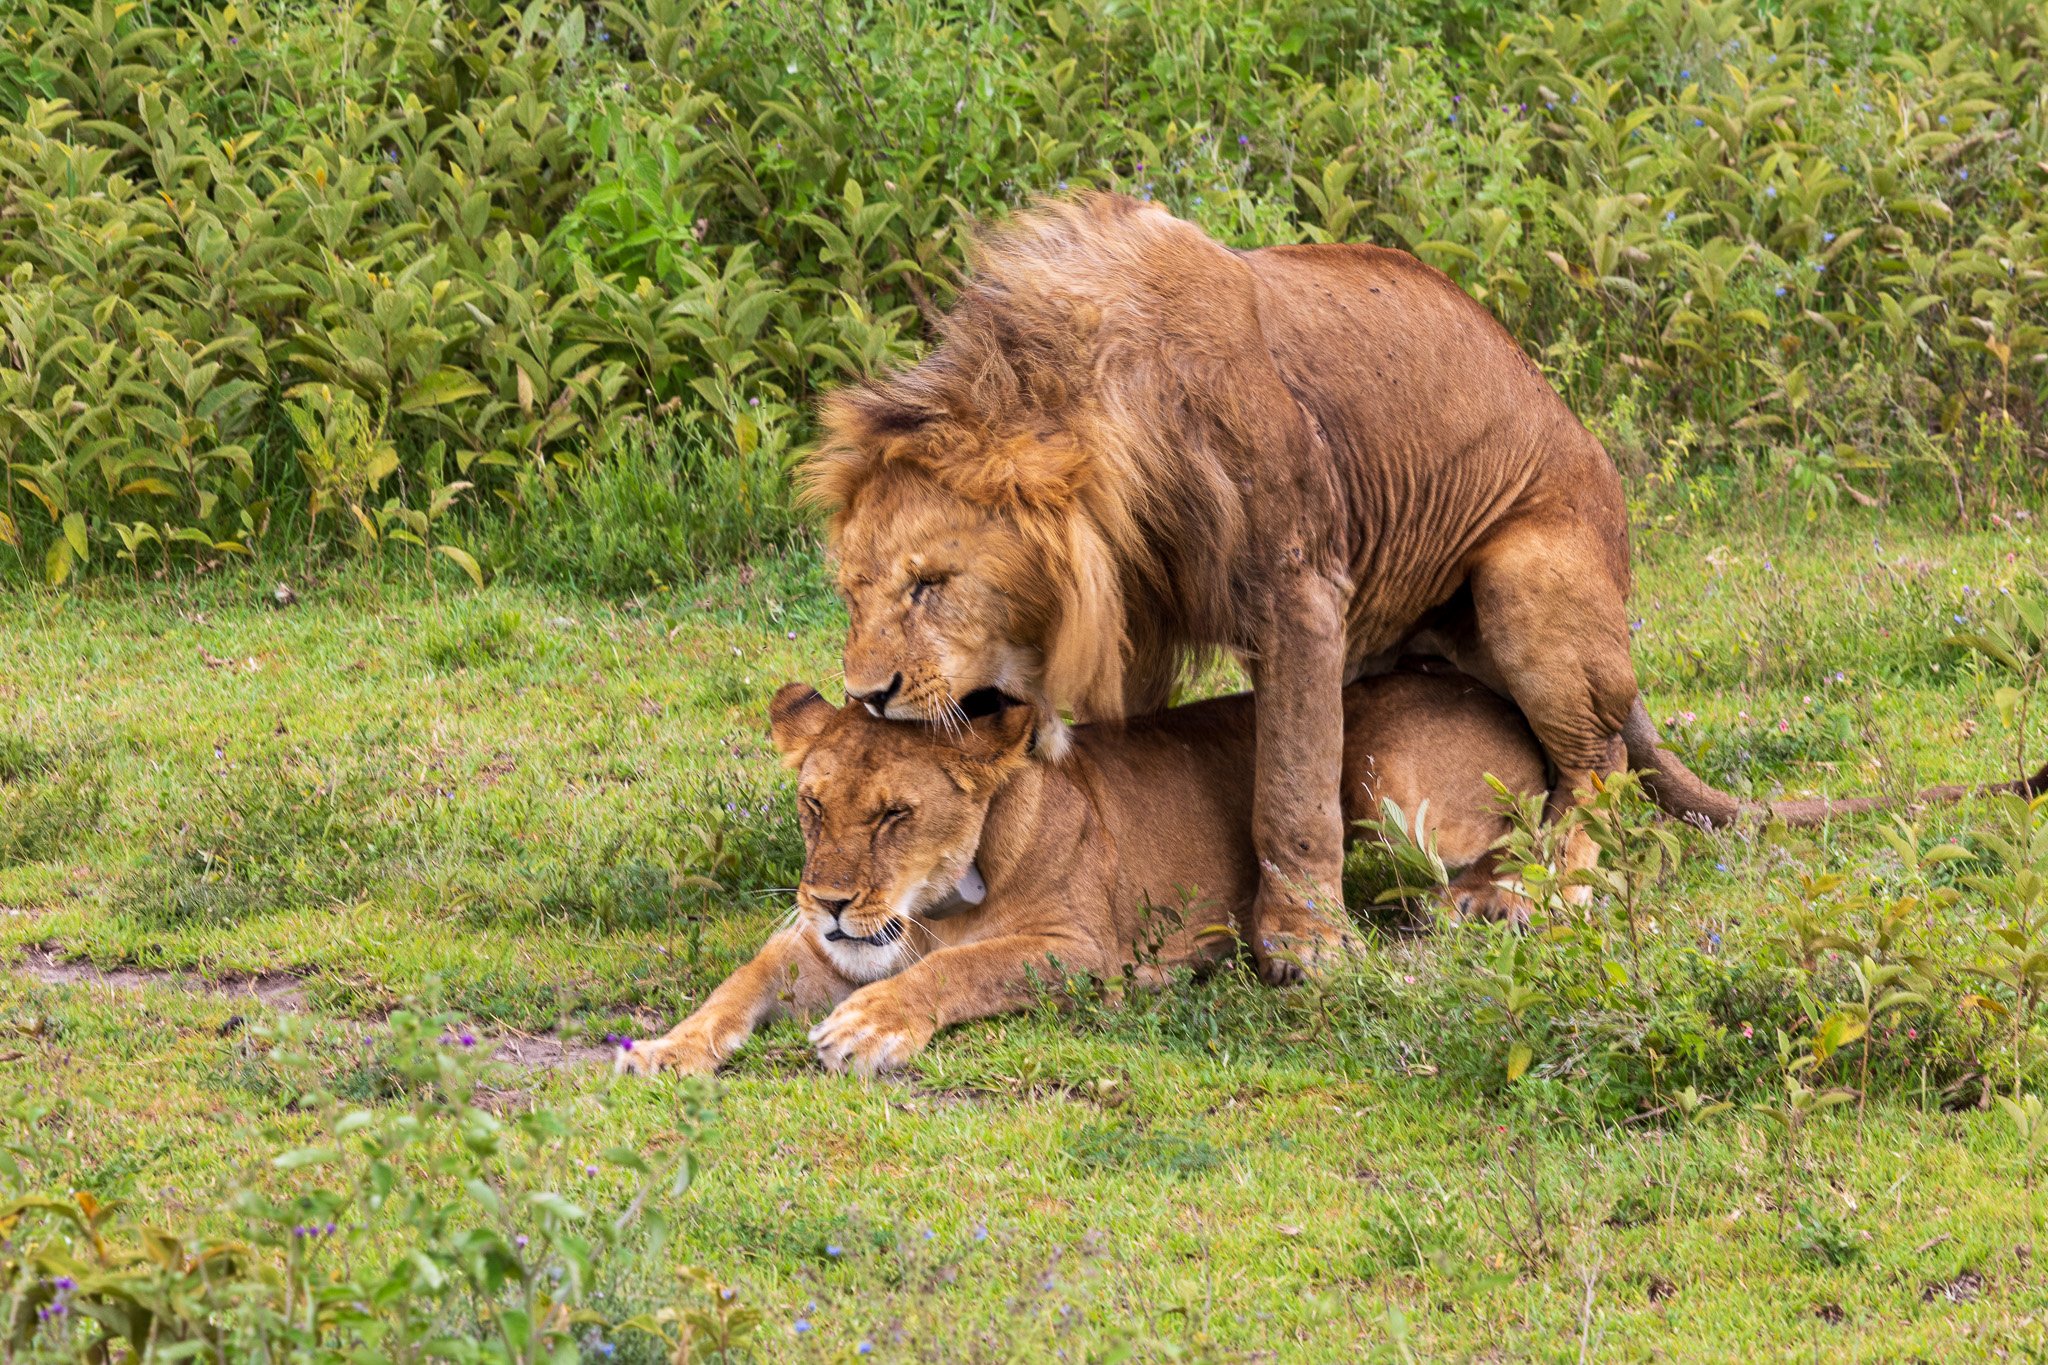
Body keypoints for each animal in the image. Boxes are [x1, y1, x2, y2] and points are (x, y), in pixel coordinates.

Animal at [622, 671, 1548, 1080]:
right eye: (813, 805)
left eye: (894, 815)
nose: (830, 901)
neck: (932, 904)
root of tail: (1499, 698)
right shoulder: (820, 947)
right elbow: (740, 980)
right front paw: (666, 1047)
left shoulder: (1078, 947)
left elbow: (959, 967)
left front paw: (869, 1025)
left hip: (1374, 771)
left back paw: (1481, 902)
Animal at [794, 194, 1630, 982]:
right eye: (851, 592)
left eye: (930, 583)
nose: (867, 694)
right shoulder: (1133, 621)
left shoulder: (1300, 592)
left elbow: (1294, 793)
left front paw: (1308, 944)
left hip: (1521, 576)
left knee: (1600, 758)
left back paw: (1528, 888)